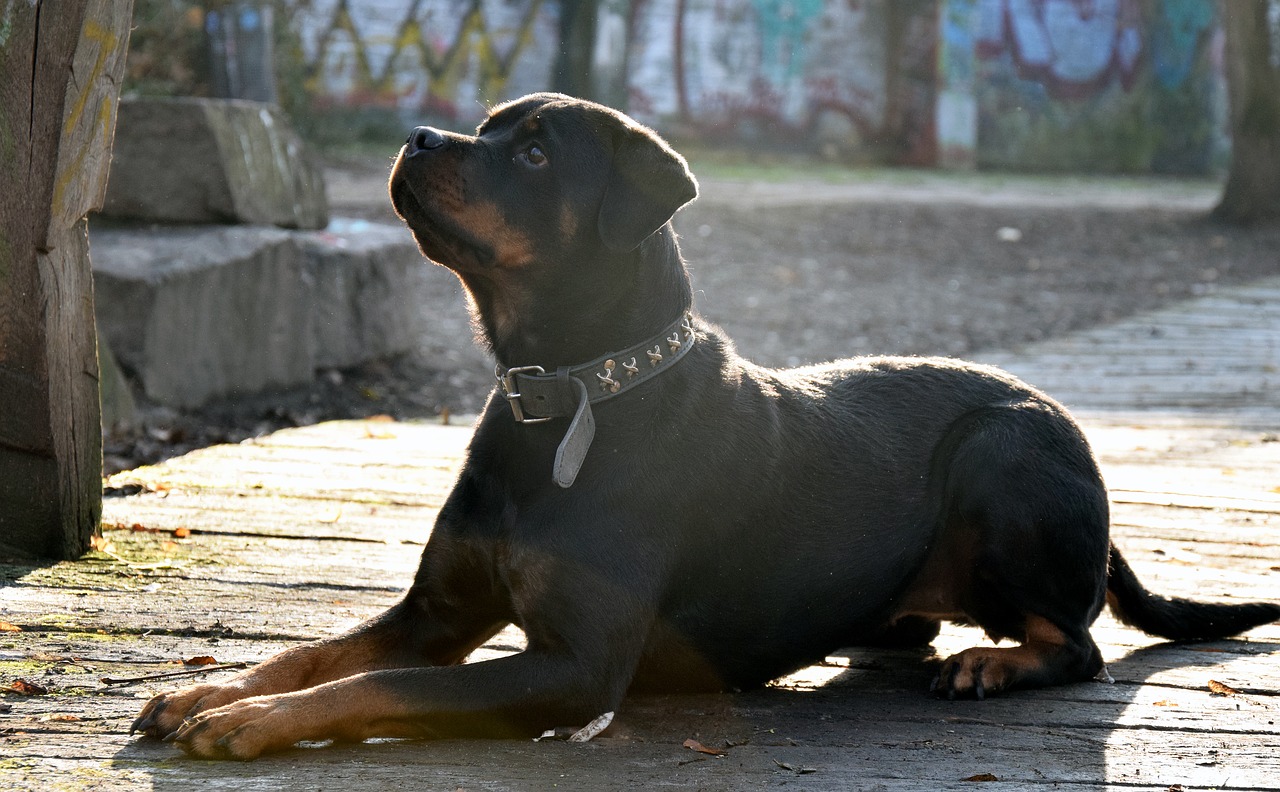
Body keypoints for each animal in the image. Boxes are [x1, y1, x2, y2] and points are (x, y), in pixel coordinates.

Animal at [132, 95, 1280, 757]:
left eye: (535, 153)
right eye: (486, 127)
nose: (416, 136)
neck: (563, 394)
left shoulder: (574, 665)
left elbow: (387, 685)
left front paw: (248, 722)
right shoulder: (436, 612)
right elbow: (327, 653)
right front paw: (217, 690)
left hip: (1004, 453)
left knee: (1075, 638)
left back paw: (993, 663)